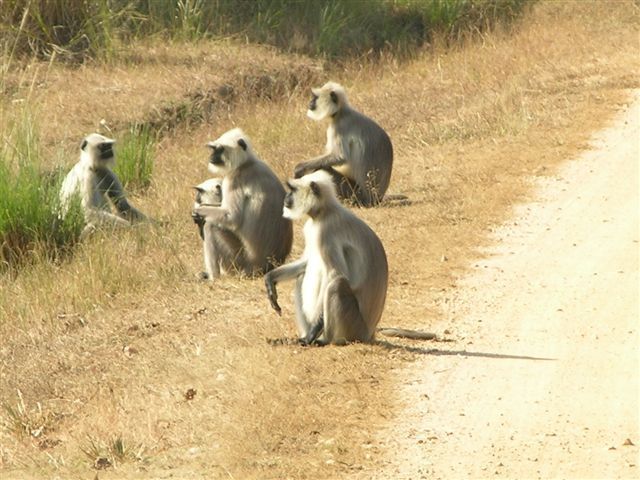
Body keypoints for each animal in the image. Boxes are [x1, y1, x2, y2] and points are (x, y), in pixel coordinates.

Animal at [189, 127, 292, 280]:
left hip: (239, 262)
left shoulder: (233, 179)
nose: (211, 157)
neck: (246, 164)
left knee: (210, 226)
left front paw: (198, 211)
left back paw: (213, 278)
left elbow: (232, 217)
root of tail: (270, 264)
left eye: (219, 149)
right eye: (213, 149)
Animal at [262, 171, 388, 344]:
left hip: (354, 327)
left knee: (336, 285)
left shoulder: (326, 230)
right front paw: (270, 279)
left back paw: (321, 339)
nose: (286, 197)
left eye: (292, 190)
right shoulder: (311, 227)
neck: (323, 213)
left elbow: (335, 274)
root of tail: (370, 333)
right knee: (301, 276)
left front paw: (313, 332)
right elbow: (306, 262)